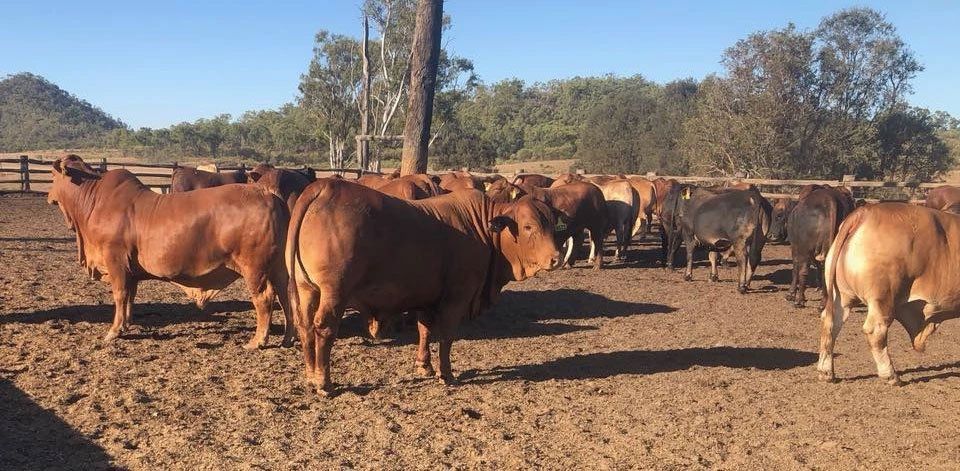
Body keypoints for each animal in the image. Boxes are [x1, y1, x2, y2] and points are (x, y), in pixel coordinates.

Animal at [47, 155, 293, 348]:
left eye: (52, 175)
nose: (48, 195)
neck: (93, 199)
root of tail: (268, 195)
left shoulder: (115, 260)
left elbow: (120, 295)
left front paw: (114, 331)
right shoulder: (130, 270)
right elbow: (130, 297)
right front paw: (126, 324)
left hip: (255, 268)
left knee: (264, 298)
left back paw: (258, 340)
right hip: (278, 267)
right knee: (285, 296)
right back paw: (287, 338)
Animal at [286, 179, 561, 395]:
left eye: (551, 224)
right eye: (528, 226)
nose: (556, 258)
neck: (481, 227)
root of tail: (324, 186)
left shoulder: (426, 297)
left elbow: (425, 330)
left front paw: (424, 365)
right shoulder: (456, 297)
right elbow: (446, 336)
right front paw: (446, 374)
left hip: (306, 288)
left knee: (305, 327)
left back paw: (310, 375)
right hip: (334, 292)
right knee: (324, 328)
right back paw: (324, 383)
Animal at [817, 203, 960, 385]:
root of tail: (866, 211)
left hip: (841, 298)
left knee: (830, 324)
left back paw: (826, 371)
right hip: (883, 298)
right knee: (875, 331)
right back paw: (891, 375)